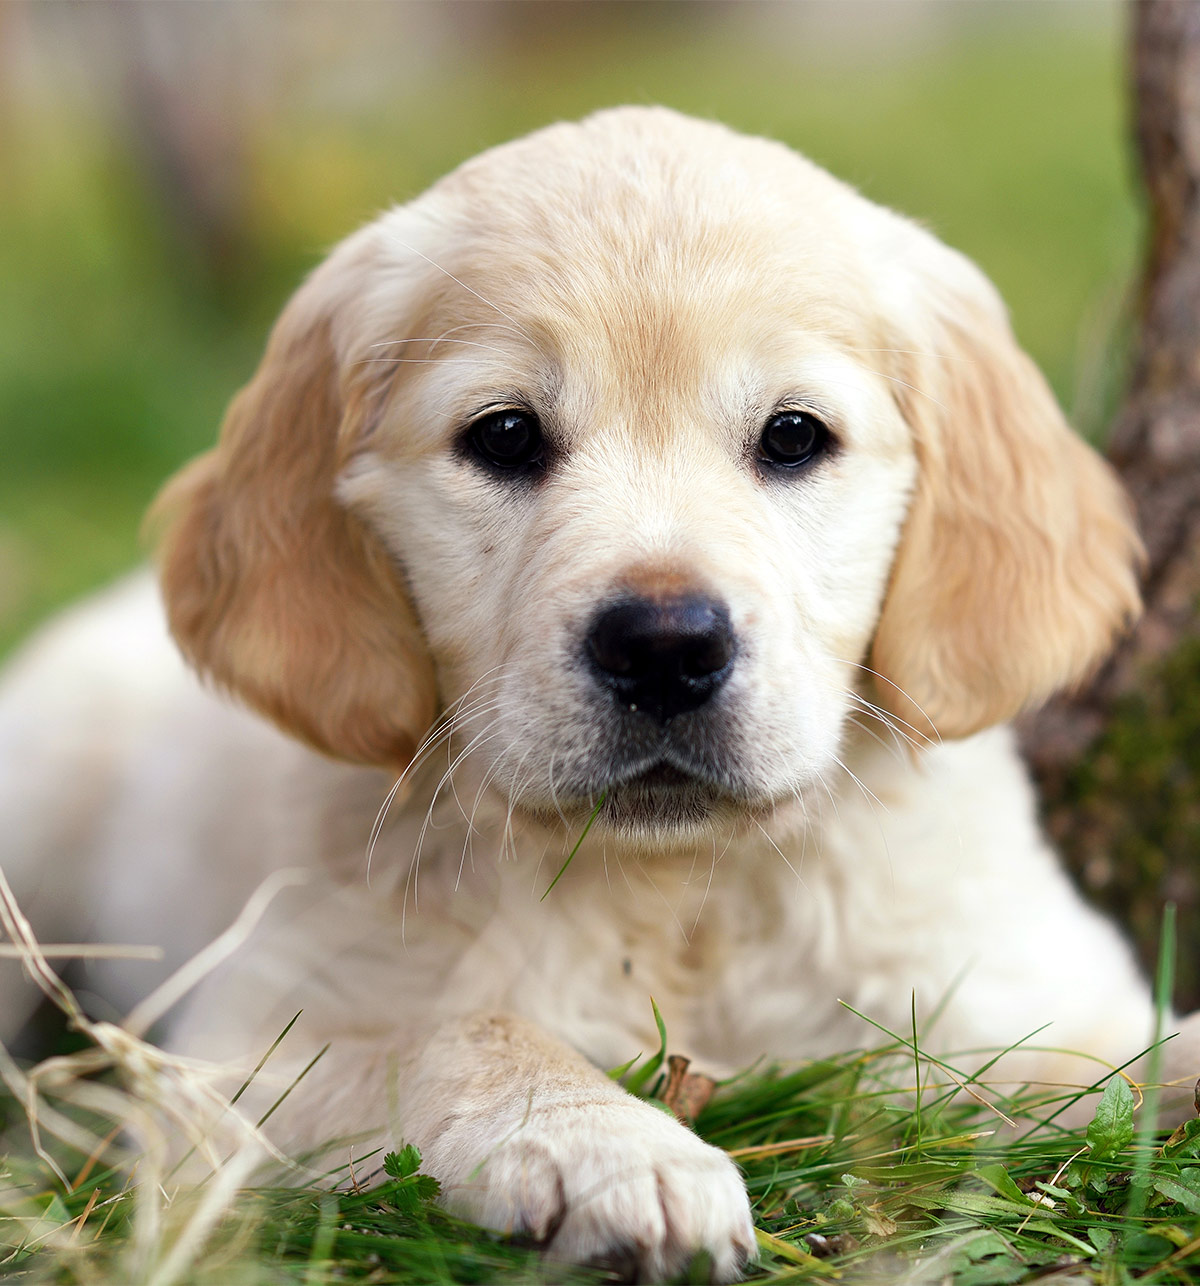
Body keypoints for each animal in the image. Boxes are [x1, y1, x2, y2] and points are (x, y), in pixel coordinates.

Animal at [0, 110, 1188, 1286]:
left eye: (794, 435)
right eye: (505, 435)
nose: (664, 650)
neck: (685, 895)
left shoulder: (1017, 985)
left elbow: (1134, 1053)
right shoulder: (249, 1049)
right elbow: (460, 1031)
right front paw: (610, 1150)